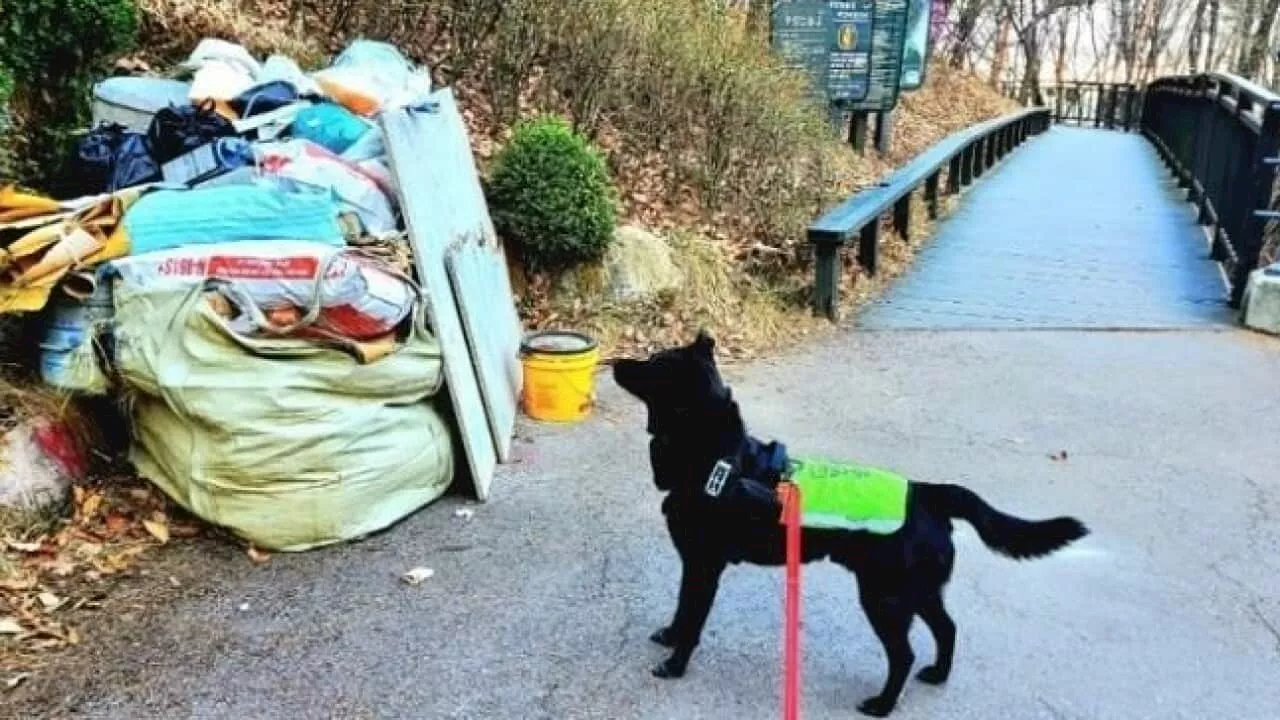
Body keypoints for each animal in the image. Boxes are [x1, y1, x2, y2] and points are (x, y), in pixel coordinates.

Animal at [611, 330, 1090, 712]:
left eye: (653, 362)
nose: (615, 361)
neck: (714, 456)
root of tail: (927, 492)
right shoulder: (692, 564)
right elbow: (680, 609)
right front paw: (670, 637)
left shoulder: (705, 566)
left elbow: (692, 619)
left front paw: (675, 664)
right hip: (918, 591)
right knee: (948, 628)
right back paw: (938, 675)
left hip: (884, 598)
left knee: (903, 654)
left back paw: (882, 704)